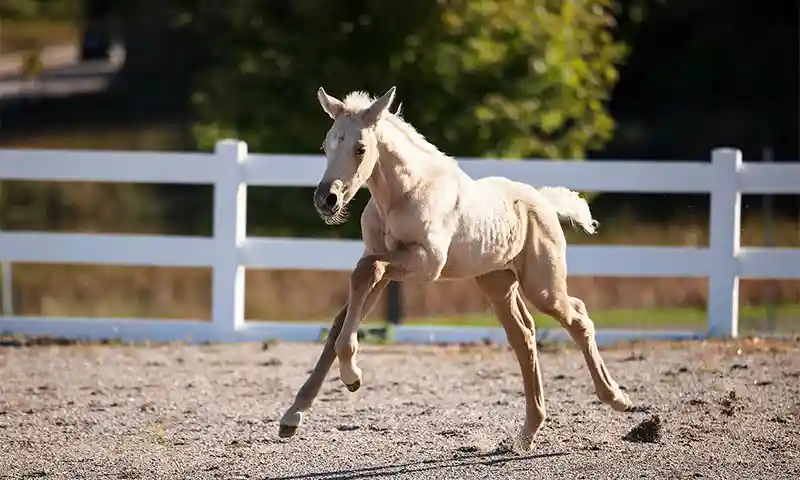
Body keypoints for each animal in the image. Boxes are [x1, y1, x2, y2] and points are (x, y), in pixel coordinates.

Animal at [278, 86, 635, 452]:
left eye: (360, 148)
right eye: (326, 146)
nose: (326, 200)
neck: (403, 195)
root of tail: (544, 201)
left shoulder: (426, 263)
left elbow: (365, 273)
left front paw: (352, 376)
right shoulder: (384, 266)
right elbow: (344, 313)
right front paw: (293, 415)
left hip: (543, 286)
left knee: (578, 318)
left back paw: (617, 399)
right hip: (497, 283)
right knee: (524, 336)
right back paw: (527, 433)